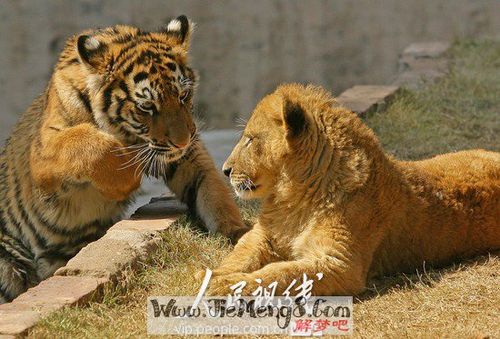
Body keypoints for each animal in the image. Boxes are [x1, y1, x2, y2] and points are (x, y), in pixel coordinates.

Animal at [0, 15, 248, 302]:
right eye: (147, 107)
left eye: (183, 96)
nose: (182, 142)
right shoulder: (43, 150)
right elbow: (83, 141)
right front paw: (126, 178)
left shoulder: (185, 157)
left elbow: (213, 190)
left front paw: (238, 234)